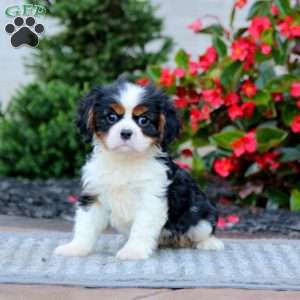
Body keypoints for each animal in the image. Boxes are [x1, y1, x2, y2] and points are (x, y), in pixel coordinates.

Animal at [54, 79, 224, 260]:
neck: (125, 160)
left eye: (143, 120)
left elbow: (141, 228)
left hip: (200, 215)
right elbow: (86, 226)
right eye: (111, 117)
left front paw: (133, 250)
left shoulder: (151, 198)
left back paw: (210, 243)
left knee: (204, 231)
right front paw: (76, 248)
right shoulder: (93, 196)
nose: (126, 133)